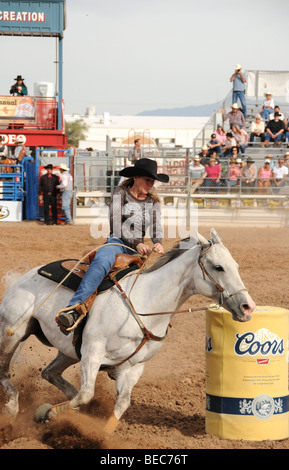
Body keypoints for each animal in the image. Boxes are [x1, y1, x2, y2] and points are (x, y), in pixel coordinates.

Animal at [0, 229, 254, 432]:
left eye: (236, 266)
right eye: (218, 267)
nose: (248, 307)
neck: (145, 303)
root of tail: (24, 276)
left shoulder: (134, 367)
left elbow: (121, 403)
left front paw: (101, 435)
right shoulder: (92, 352)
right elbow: (86, 393)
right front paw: (49, 412)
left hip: (69, 351)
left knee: (50, 372)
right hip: (13, 332)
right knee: (5, 370)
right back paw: (12, 406)